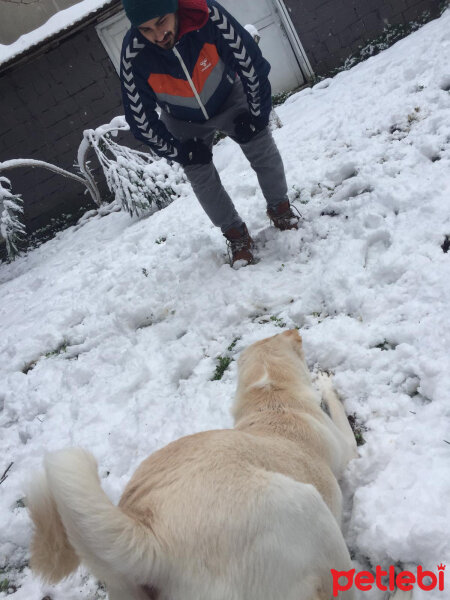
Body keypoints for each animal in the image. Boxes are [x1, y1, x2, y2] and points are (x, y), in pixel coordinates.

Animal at [27, 330, 358, 596]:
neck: (270, 396)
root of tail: (151, 539)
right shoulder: (347, 448)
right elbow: (338, 411)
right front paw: (325, 382)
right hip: (308, 510)